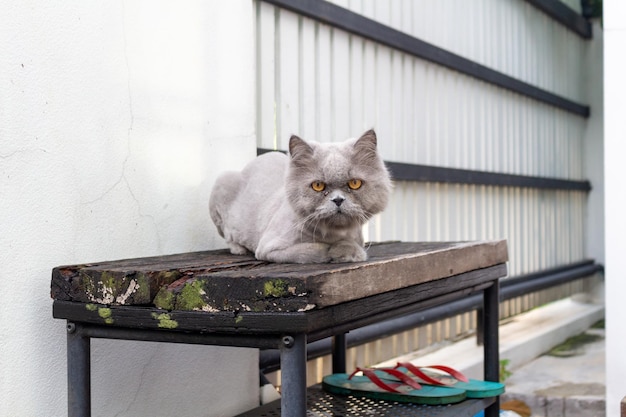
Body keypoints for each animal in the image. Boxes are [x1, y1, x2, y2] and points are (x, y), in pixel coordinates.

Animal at [208, 128, 390, 262]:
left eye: (354, 183)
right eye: (318, 186)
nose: (338, 200)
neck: (335, 234)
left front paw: (349, 252)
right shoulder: (269, 248)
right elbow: (314, 250)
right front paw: (341, 251)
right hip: (221, 185)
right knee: (229, 236)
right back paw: (239, 249)